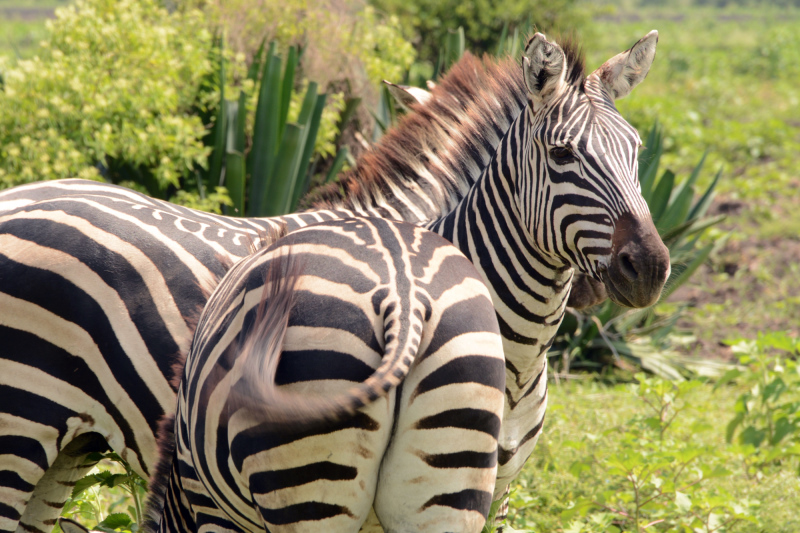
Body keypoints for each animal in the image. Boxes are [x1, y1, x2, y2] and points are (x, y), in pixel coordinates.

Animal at [0, 31, 668, 528]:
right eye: (562, 155)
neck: (521, 351)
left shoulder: (492, 486)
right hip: (20, 420)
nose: (650, 267)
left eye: (637, 151)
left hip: (67, 444)